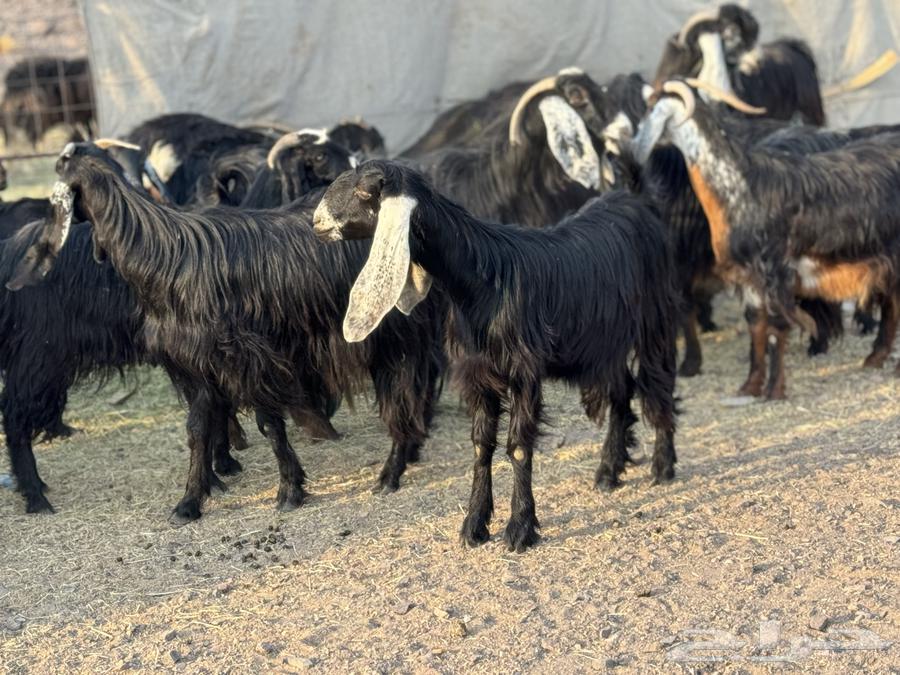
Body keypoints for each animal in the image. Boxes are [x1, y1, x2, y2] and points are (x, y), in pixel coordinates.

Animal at [43, 142, 444, 522]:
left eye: (62, 167)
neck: (166, 254)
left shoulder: (248, 357)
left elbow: (269, 425)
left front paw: (290, 490)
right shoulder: (199, 365)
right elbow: (197, 430)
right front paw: (189, 502)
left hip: (395, 334)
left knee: (403, 397)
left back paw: (392, 472)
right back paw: (412, 448)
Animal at [313, 160, 679, 552]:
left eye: (366, 191)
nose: (317, 222)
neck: (482, 281)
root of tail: (636, 197)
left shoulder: (523, 371)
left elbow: (517, 447)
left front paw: (519, 529)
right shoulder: (478, 375)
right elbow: (481, 446)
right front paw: (474, 525)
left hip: (656, 318)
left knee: (658, 385)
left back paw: (663, 467)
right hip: (604, 343)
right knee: (622, 390)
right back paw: (609, 471)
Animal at [632, 80, 900, 397]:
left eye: (651, 108)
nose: (635, 146)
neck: (741, 185)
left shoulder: (775, 273)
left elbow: (777, 328)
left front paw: (774, 390)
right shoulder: (750, 279)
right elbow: (757, 326)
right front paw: (751, 385)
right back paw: (876, 357)